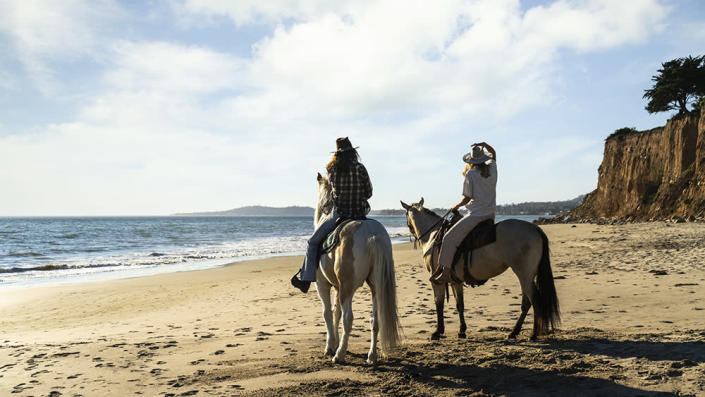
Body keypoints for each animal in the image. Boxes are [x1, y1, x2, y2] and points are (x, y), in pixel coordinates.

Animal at [314, 172, 402, 362]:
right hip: (376, 287)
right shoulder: (338, 287)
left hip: (348, 288)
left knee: (348, 319)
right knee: (375, 320)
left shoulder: (322, 284)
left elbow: (327, 313)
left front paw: (330, 346)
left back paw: (339, 354)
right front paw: (334, 342)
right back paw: (371, 355)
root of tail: (372, 235)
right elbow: (336, 312)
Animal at [402, 197, 560, 338]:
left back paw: (533, 334)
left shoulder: (437, 281)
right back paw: (514, 332)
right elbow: (460, 304)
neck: (433, 236)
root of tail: (536, 229)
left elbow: (438, 303)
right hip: (527, 275)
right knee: (527, 303)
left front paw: (438, 331)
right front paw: (462, 330)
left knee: (535, 300)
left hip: (524, 275)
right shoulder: (455, 281)